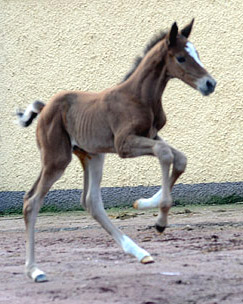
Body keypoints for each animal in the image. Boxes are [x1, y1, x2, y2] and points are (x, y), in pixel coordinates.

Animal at [16, 20, 216, 282]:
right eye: (181, 57)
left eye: (197, 53)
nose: (210, 84)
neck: (138, 96)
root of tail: (44, 107)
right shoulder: (124, 144)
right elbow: (165, 153)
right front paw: (160, 220)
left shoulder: (150, 135)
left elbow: (180, 158)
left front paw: (144, 203)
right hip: (56, 158)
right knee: (32, 202)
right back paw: (34, 270)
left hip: (92, 155)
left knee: (90, 201)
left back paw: (140, 252)